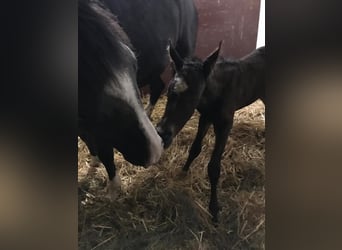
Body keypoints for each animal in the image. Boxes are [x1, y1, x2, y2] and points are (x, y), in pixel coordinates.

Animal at [156, 41, 266, 223]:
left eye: (193, 95)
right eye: (169, 91)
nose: (162, 133)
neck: (219, 92)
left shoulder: (224, 125)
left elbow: (214, 168)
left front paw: (214, 209)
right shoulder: (205, 117)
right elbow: (195, 149)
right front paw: (183, 172)